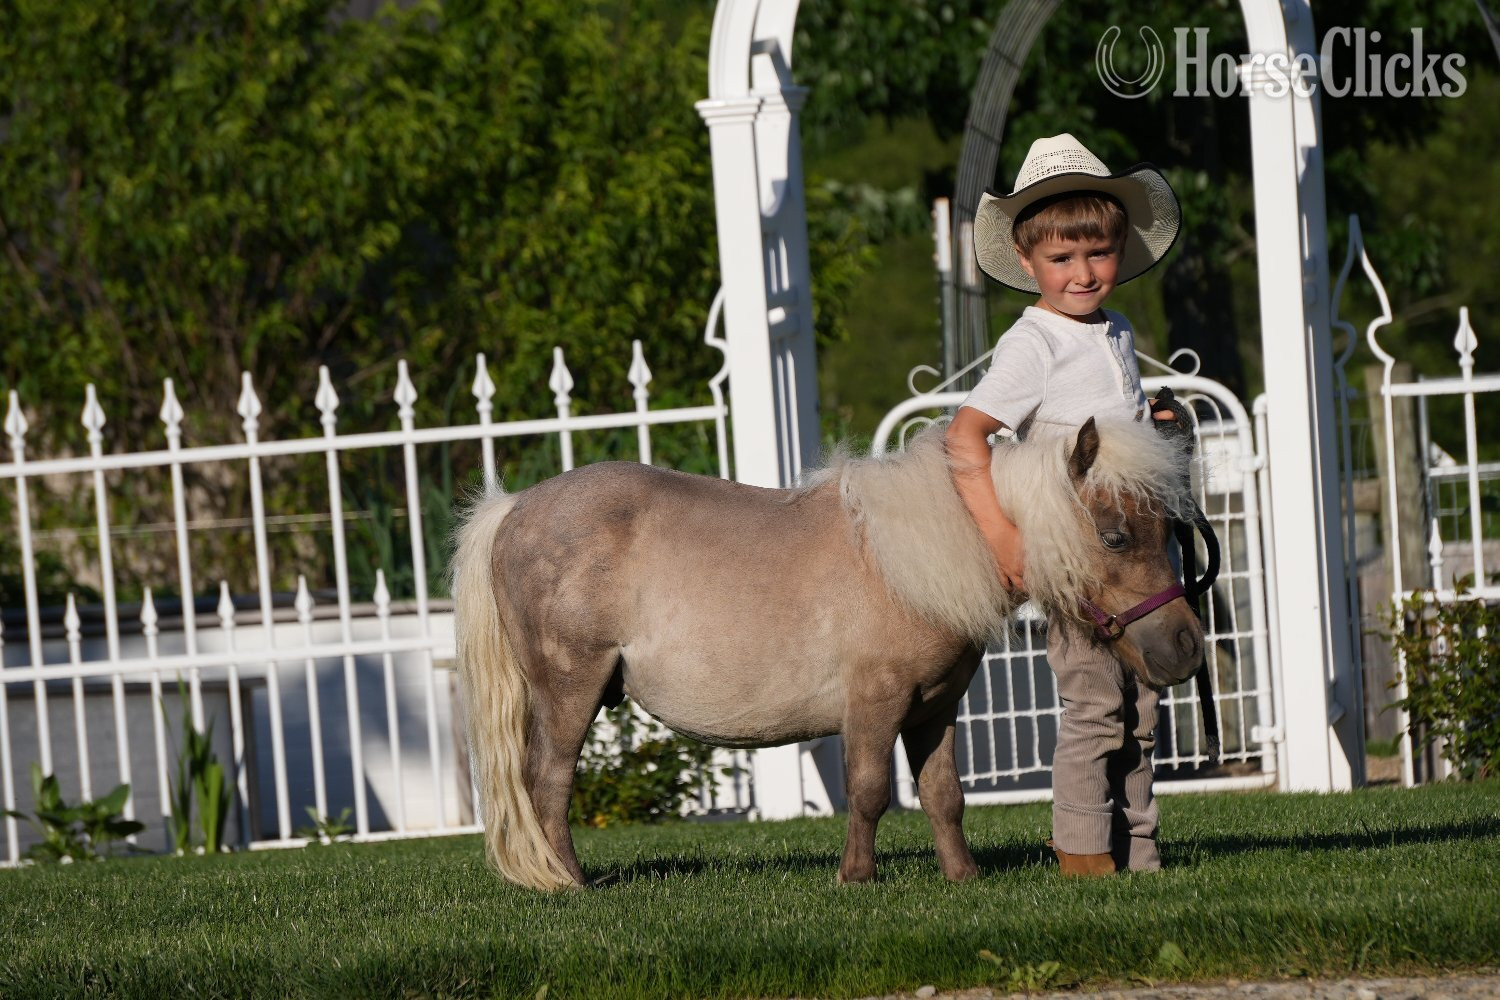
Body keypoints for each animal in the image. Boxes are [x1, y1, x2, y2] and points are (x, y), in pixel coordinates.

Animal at [451, 417, 1204, 891]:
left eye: (1168, 528)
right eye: (1113, 535)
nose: (1185, 646)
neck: (917, 562)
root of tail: (514, 509)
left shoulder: (934, 710)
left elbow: (943, 794)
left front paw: (962, 877)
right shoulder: (875, 701)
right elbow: (868, 790)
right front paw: (858, 877)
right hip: (569, 692)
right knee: (548, 782)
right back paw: (568, 883)